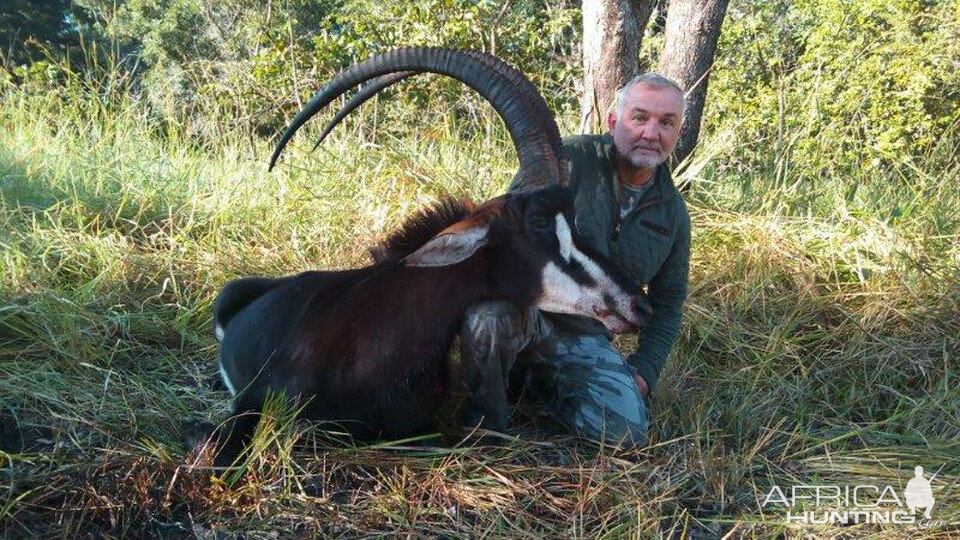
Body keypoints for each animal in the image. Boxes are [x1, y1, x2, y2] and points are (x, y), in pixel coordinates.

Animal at [186, 48, 652, 466]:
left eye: (573, 217)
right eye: (538, 221)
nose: (638, 304)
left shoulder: (416, 428)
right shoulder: (254, 401)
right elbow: (218, 454)